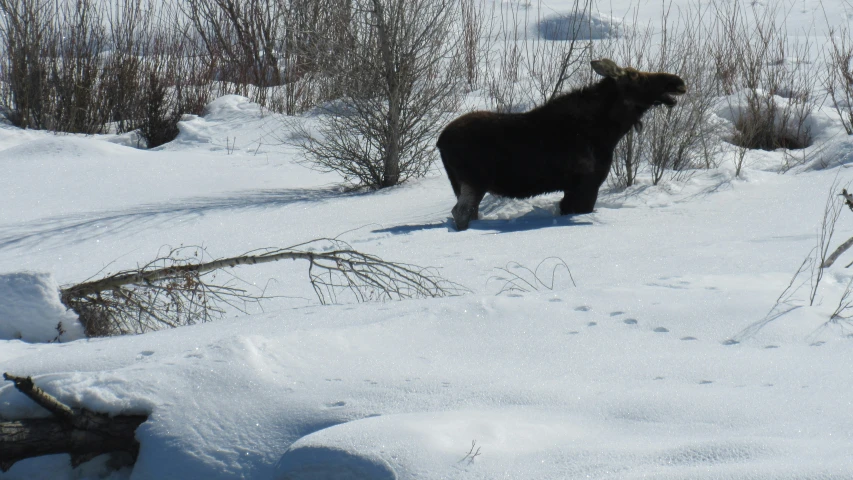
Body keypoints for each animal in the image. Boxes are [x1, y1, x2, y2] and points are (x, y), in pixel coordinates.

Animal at [440, 58, 684, 231]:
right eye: (637, 77)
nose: (678, 82)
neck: (609, 131)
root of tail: (440, 141)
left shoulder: (572, 187)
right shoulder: (587, 183)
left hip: (462, 184)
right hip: (474, 181)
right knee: (460, 212)